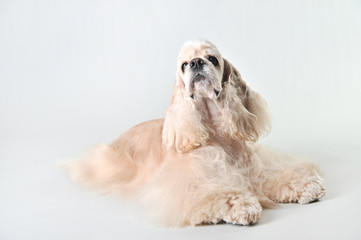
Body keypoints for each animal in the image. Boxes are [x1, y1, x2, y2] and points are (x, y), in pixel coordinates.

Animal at [65, 39, 326, 227]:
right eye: (184, 64)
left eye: (212, 58)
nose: (196, 63)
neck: (217, 134)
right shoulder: (193, 182)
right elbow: (219, 194)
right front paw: (242, 206)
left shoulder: (255, 169)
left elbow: (277, 176)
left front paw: (305, 185)